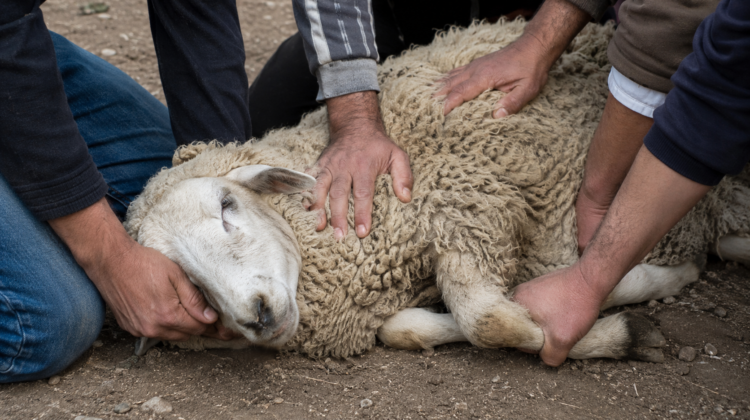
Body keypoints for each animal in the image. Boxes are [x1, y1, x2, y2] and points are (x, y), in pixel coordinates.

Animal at [125, 19, 750, 361]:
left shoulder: (476, 205)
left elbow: (492, 319)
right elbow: (415, 326)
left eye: (228, 205)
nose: (256, 313)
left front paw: (635, 302)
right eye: (189, 289)